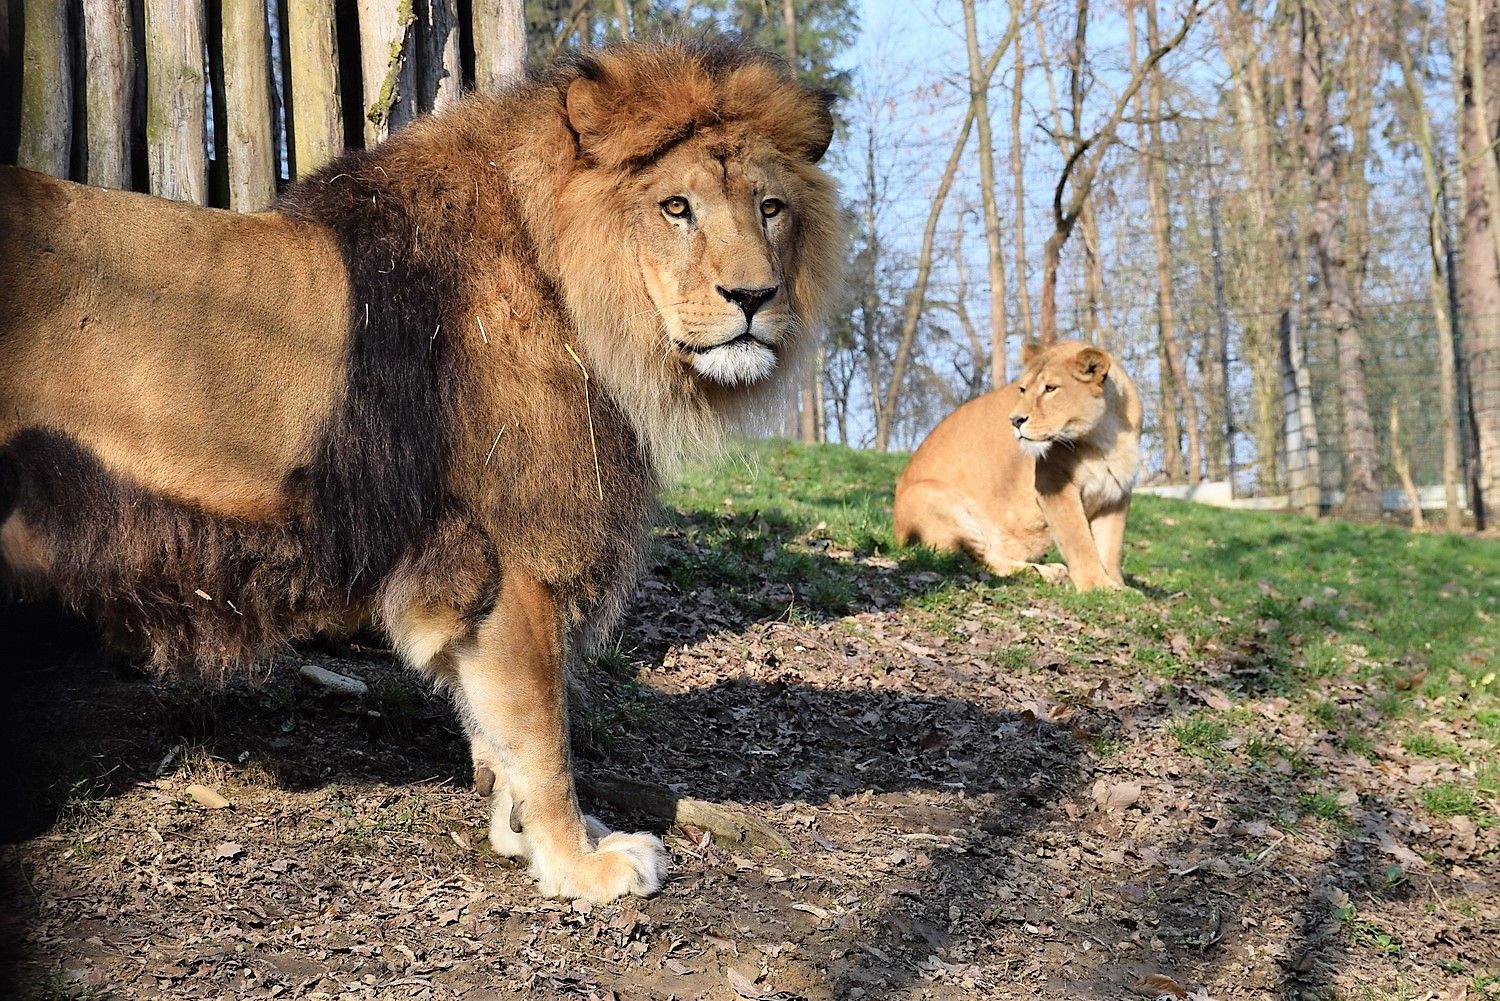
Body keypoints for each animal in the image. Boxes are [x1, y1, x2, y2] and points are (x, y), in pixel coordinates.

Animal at [0, 39, 843, 903]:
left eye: (770, 208)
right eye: (677, 208)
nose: (754, 297)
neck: (577, 294)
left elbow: (493, 724)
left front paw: (521, 839)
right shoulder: (518, 558)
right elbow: (544, 735)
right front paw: (581, 862)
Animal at [893, 341, 1142, 591]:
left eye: (1050, 388)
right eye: (1023, 389)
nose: (1015, 420)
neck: (1105, 437)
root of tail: (897, 535)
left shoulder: (1115, 496)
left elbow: (1110, 548)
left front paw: (1119, 586)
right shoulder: (1054, 486)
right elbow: (1079, 541)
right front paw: (1097, 586)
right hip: (933, 497)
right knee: (981, 561)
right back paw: (1045, 573)